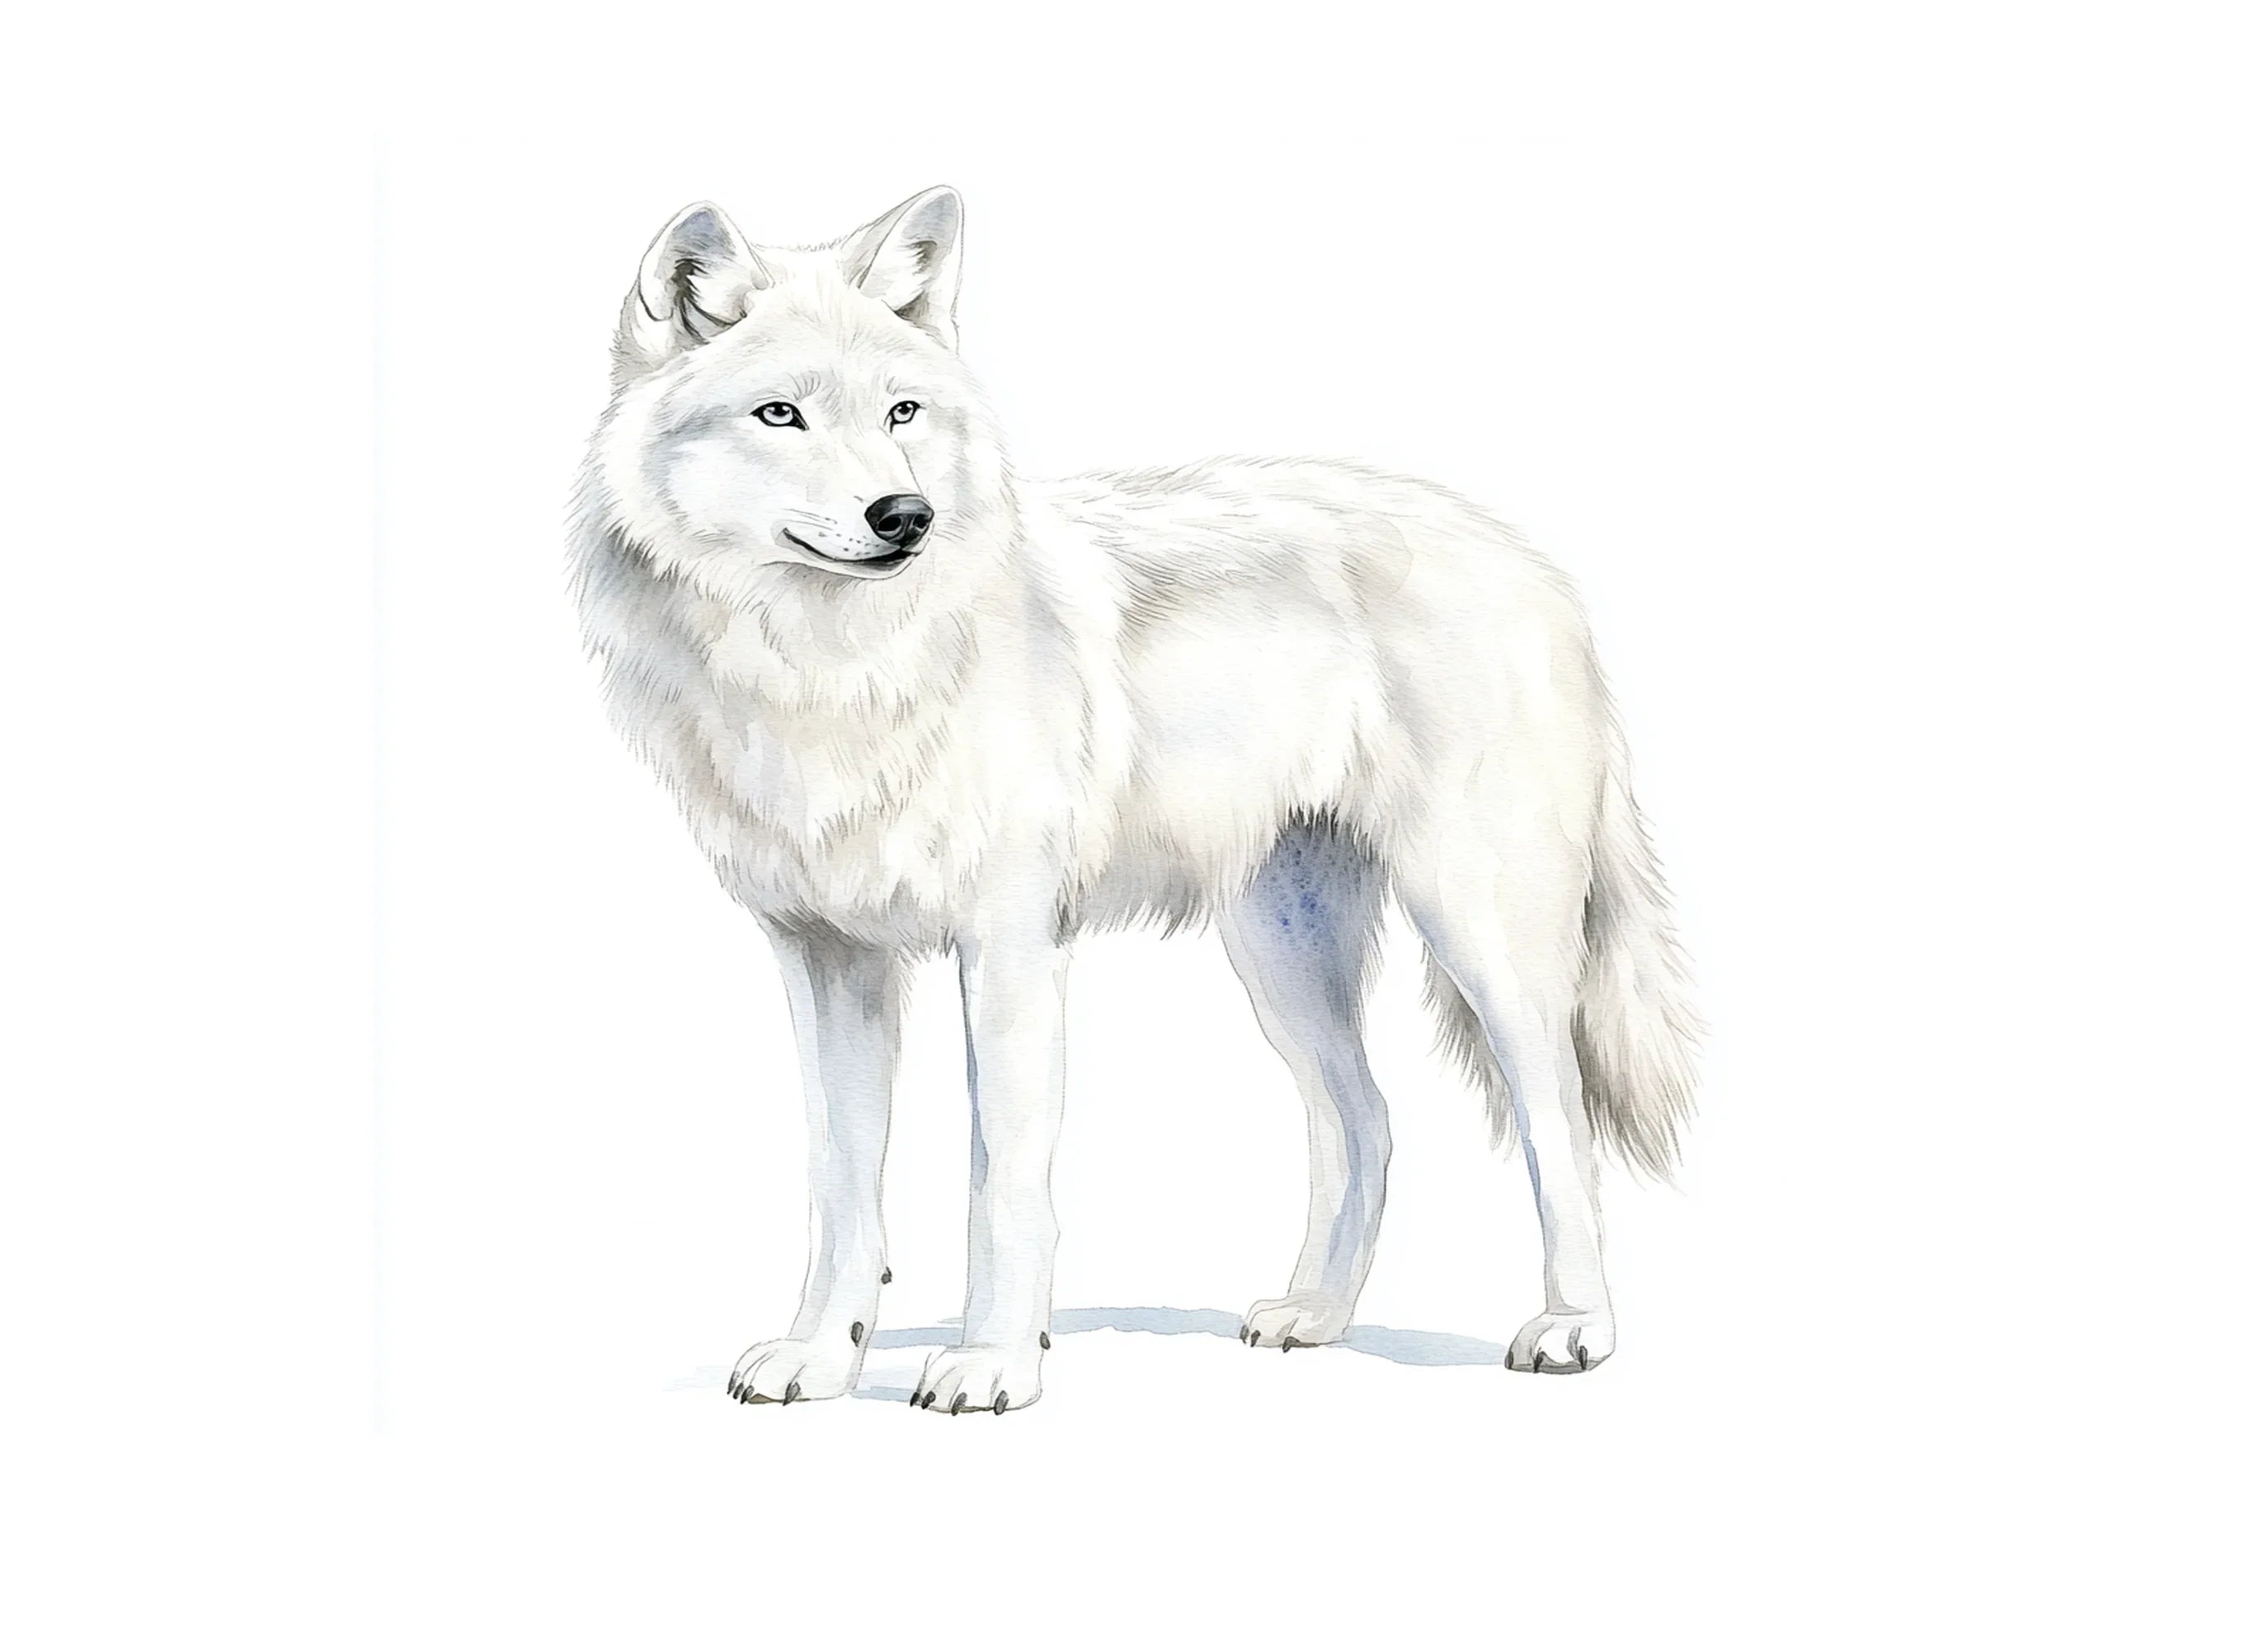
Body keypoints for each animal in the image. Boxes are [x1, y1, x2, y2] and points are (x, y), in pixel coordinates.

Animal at [571, 187, 1698, 1414]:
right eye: (779, 415)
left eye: (901, 411)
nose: (903, 515)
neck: (836, 669)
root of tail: (1535, 566)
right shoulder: (826, 958)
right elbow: (839, 1187)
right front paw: (822, 1358)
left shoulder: (1010, 946)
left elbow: (1002, 1184)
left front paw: (993, 1364)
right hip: (1278, 955)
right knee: (1365, 1119)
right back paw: (1315, 1316)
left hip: (1480, 934)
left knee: (1556, 1122)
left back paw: (1573, 1328)